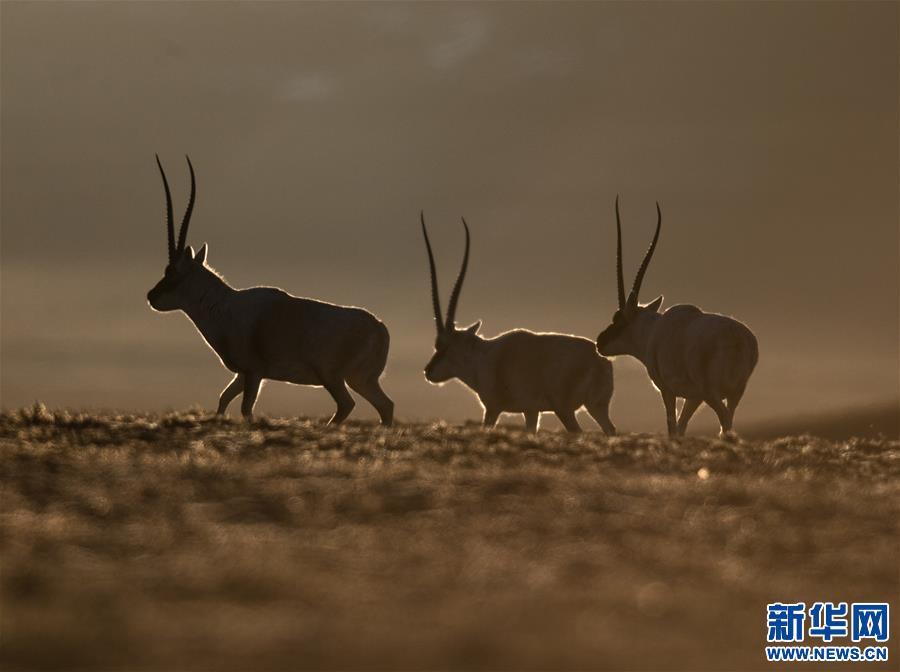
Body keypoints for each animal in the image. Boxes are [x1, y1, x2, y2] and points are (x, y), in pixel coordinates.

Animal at [148, 154, 394, 422]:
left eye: (174, 274)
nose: (151, 297)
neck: (225, 307)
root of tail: (380, 328)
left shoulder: (254, 372)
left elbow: (246, 409)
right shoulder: (242, 374)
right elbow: (223, 399)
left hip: (333, 377)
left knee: (348, 404)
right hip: (361, 380)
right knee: (386, 406)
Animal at [418, 215, 616, 436]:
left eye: (448, 347)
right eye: (437, 345)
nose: (428, 372)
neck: (484, 356)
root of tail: (601, 361)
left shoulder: (493, 408)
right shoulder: (530, 411)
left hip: (564, 409)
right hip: (595, 407)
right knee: (610, 430)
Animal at [596, 197, 760, 438]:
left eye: (619, 319)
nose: (600, 342)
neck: (652, 330)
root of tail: (737, 339)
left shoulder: (668, 390)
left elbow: (672, 426)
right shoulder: (693, 397)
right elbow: (682, 427)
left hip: (711, 393)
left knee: (725, 421)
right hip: (735, 393)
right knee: (728, 420)